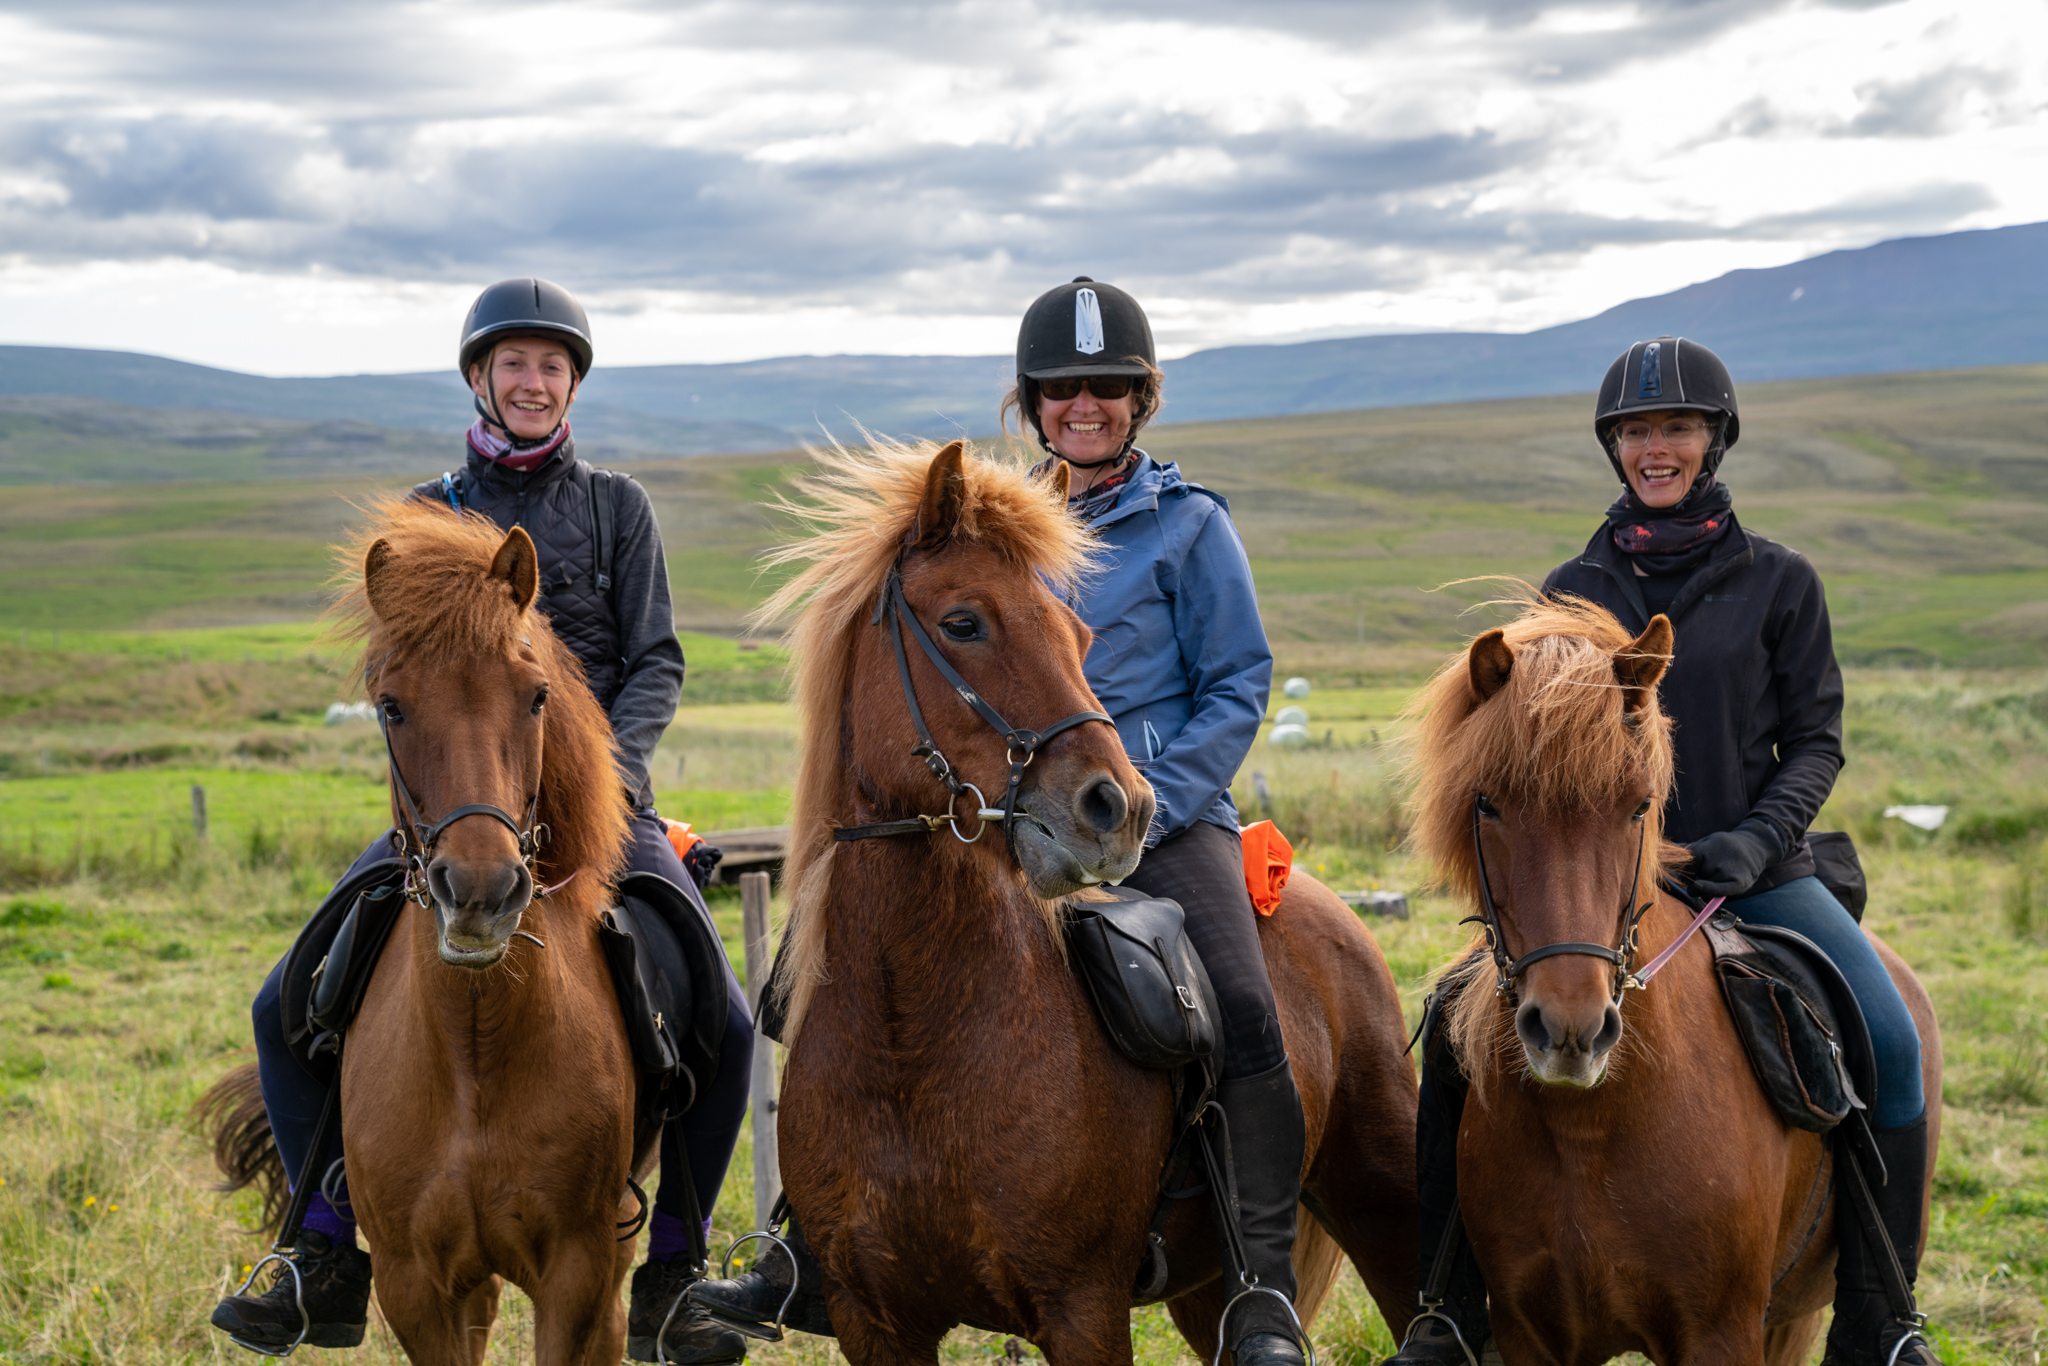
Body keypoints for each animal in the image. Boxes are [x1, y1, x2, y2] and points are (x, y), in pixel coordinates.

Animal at [751, 437, 1421, 1366]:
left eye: (1079, 633)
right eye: (964, 622)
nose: (1122, 810)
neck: (908, 1039)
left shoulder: (1082, 1308)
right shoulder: (873, 1319)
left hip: (1384, 1204)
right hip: (1207, 1289)